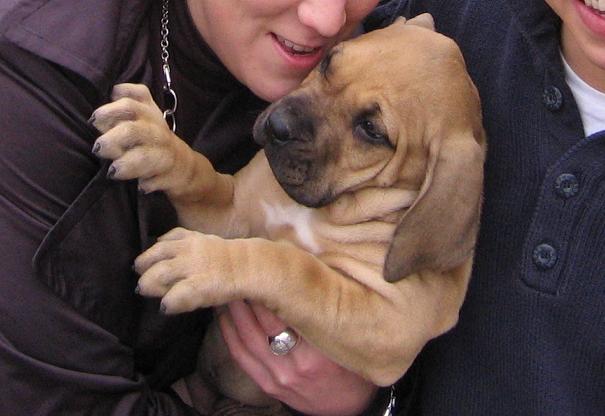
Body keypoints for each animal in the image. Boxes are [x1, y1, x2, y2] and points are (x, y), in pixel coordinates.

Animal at [91, 14, 485, 414]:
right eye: (328, 63)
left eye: (371, 130)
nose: (277, 126)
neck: (328, 208)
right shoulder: (231, 210)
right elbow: (202, 178)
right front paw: (157, 142)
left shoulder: (389, 320)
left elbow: (295, 267)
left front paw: (199, 263)